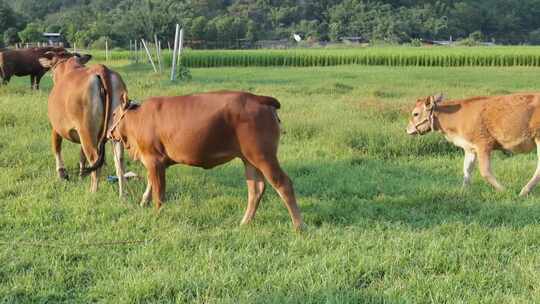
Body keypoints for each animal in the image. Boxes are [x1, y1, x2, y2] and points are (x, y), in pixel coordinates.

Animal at [38, 51, 127, 196]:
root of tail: (101, 68)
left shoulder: (56, 127)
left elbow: (56, 148)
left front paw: (62, 174)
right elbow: (81, 156)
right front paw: (80, 175)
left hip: (87, 132)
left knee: (95, 160)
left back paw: (93, 192)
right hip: (113, 134)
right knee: (119, 162)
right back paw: (122, 195)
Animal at [107, 91, 306, 229]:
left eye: (114, 114)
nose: (109, 133)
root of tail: (258, 98)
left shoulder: (154, 159)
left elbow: (159, 193)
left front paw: (157, 213)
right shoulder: (156, 162)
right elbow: (151, 184)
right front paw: (143, 203)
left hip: (263, 155)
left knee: (283, 184)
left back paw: (299, 226)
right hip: (249, 159)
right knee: (256, 189)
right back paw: (244, 222)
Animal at [408, 94, 540, 196]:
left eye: (415, 114)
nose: (407, 129)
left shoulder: (483, 144)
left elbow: (485, 171)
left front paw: (503, 190)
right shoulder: (469, 148)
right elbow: (467, 170)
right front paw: (463, 191)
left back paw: (524, 191)